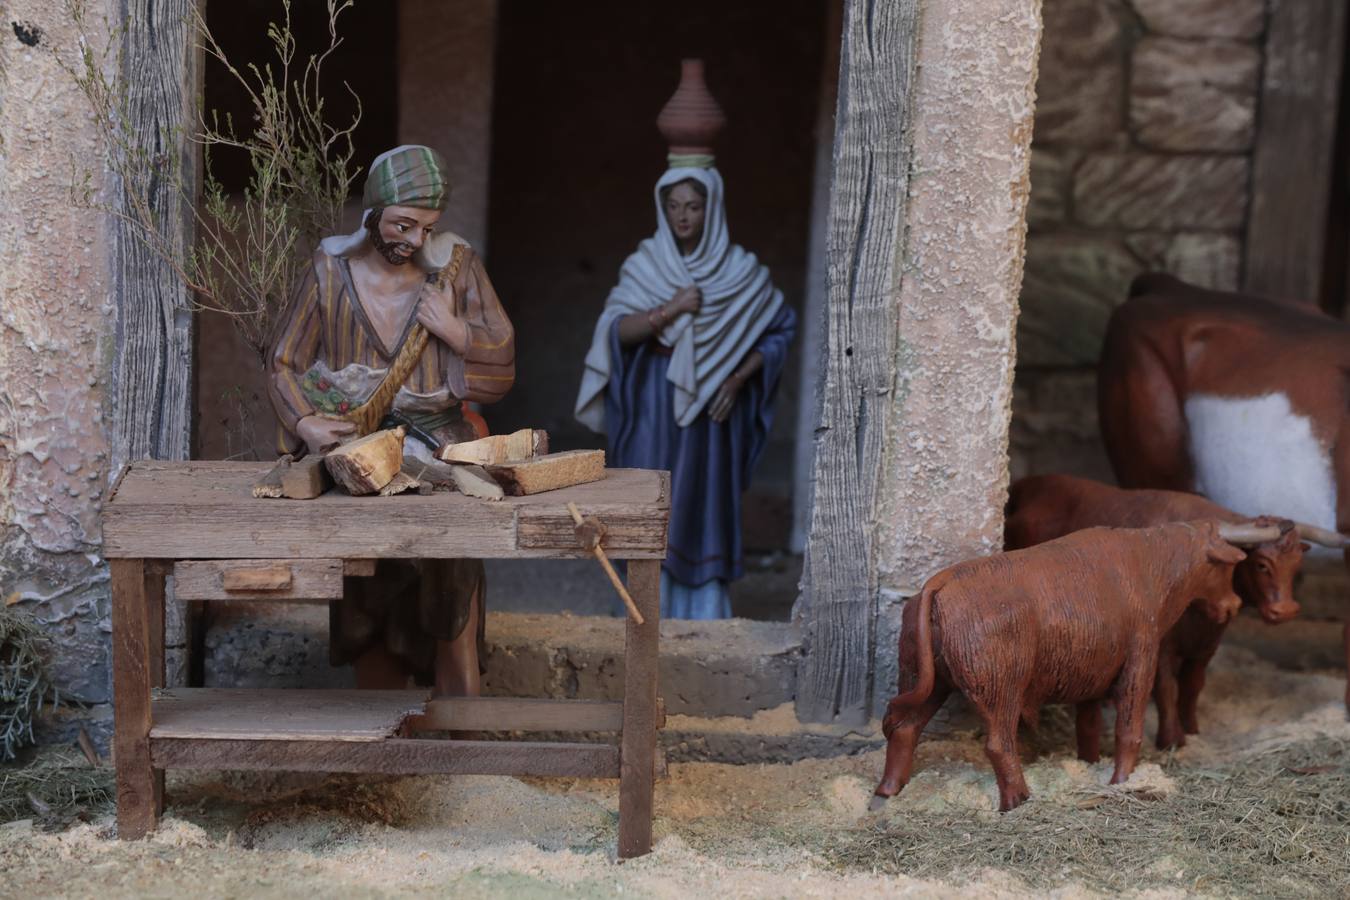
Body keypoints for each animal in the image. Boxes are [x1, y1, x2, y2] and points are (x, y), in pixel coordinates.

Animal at [869, 518, 1269, 814]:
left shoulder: (1091, 677)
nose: (1233, 605)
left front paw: (1089, 765)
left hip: (926, 683)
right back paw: (1018, 799)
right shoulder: (1141, 660)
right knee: (999, 745)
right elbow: (1129, 729)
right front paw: (1120, 782)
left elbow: (1088, 729)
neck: (1149, 566)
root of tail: (938, 586)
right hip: (1001, 693)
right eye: (1226, 568)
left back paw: (888, 791)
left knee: (904, 730)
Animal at [1009, 474, 1301, 755]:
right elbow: (1166, 688)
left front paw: (1191, 728)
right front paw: (1171, 738)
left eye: (1297, 565)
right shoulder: (1159, 647)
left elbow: (1193, 685)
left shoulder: (1206, 647)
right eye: (1261, 565)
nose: (1285, 611)